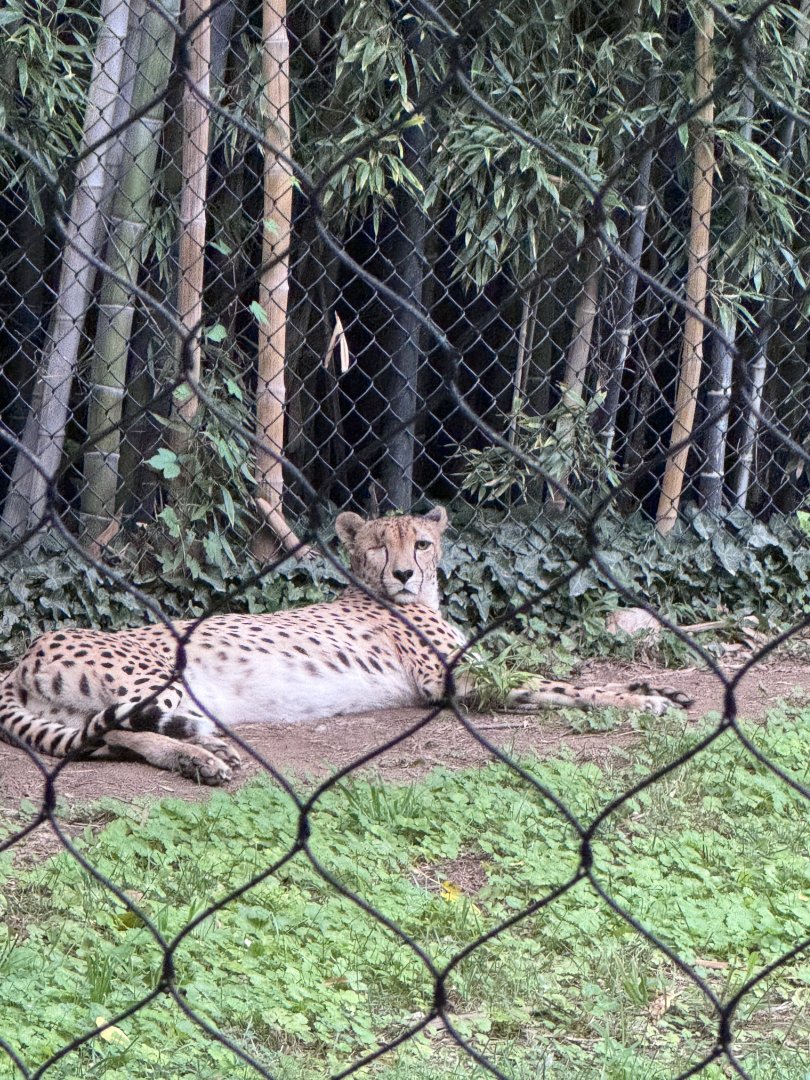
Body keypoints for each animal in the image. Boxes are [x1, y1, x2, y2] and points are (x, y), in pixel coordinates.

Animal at [0, 507, 691, 784]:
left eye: (422, 543)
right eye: (382, 545)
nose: (405, 573)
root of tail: (27, 650)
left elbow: (560, 674)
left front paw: (656, 687)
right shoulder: (457, 681)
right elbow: (561, 685)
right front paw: (643, 703)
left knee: (106, 737)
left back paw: (196, 753)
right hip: (162, 680)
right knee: (120, 728)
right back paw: (200, 757)